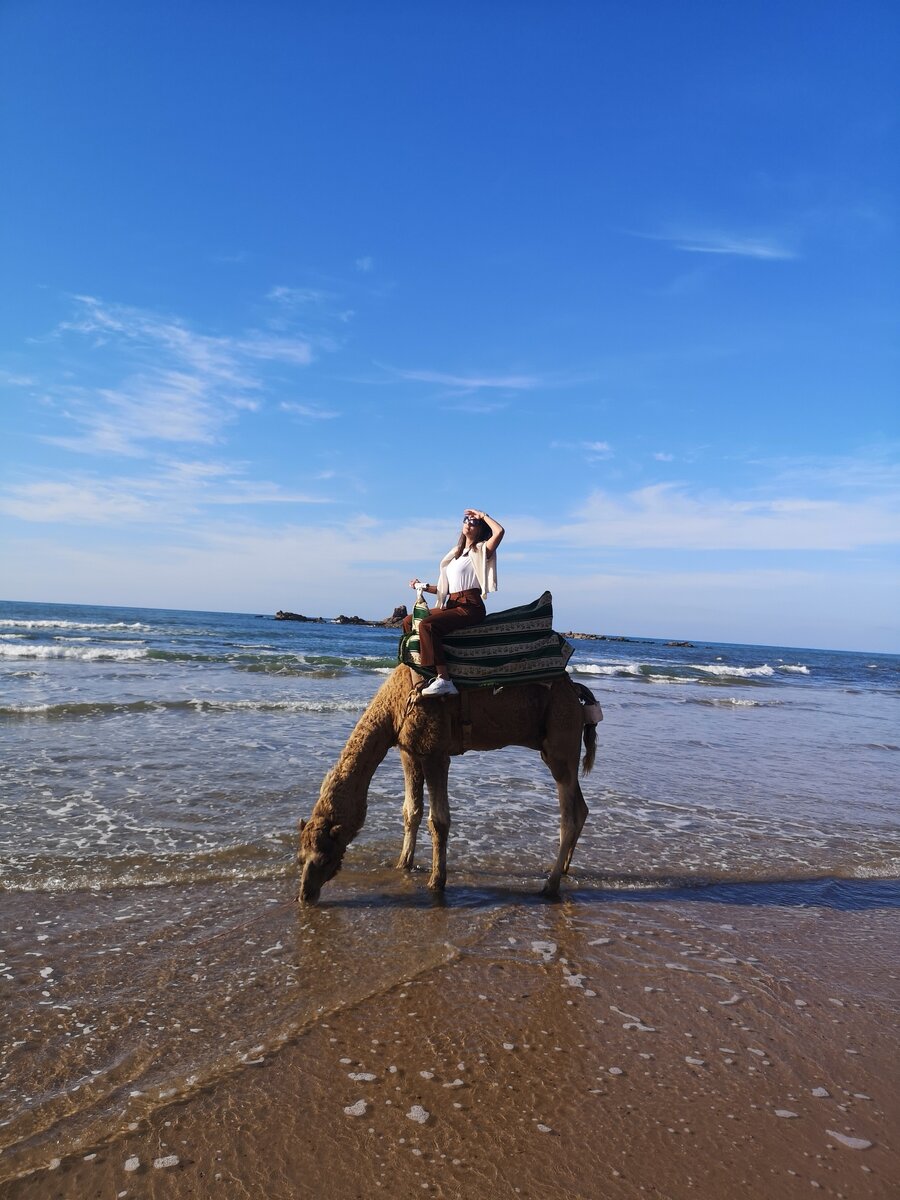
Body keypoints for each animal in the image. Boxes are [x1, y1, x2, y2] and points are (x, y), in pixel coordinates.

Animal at [300, 667, 602, 902]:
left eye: (324, 857)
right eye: (301, 857)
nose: (305, 895)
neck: (394, 708)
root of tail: (575, 691)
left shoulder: (436, 753)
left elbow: (439, 820)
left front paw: (436, 881)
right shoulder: (409, 751)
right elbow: (411, 811)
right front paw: (403, 864)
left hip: (561, 743)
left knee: (569, 816)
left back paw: (550, 885)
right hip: (556, 748)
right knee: (582, 808)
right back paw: (564, 869)